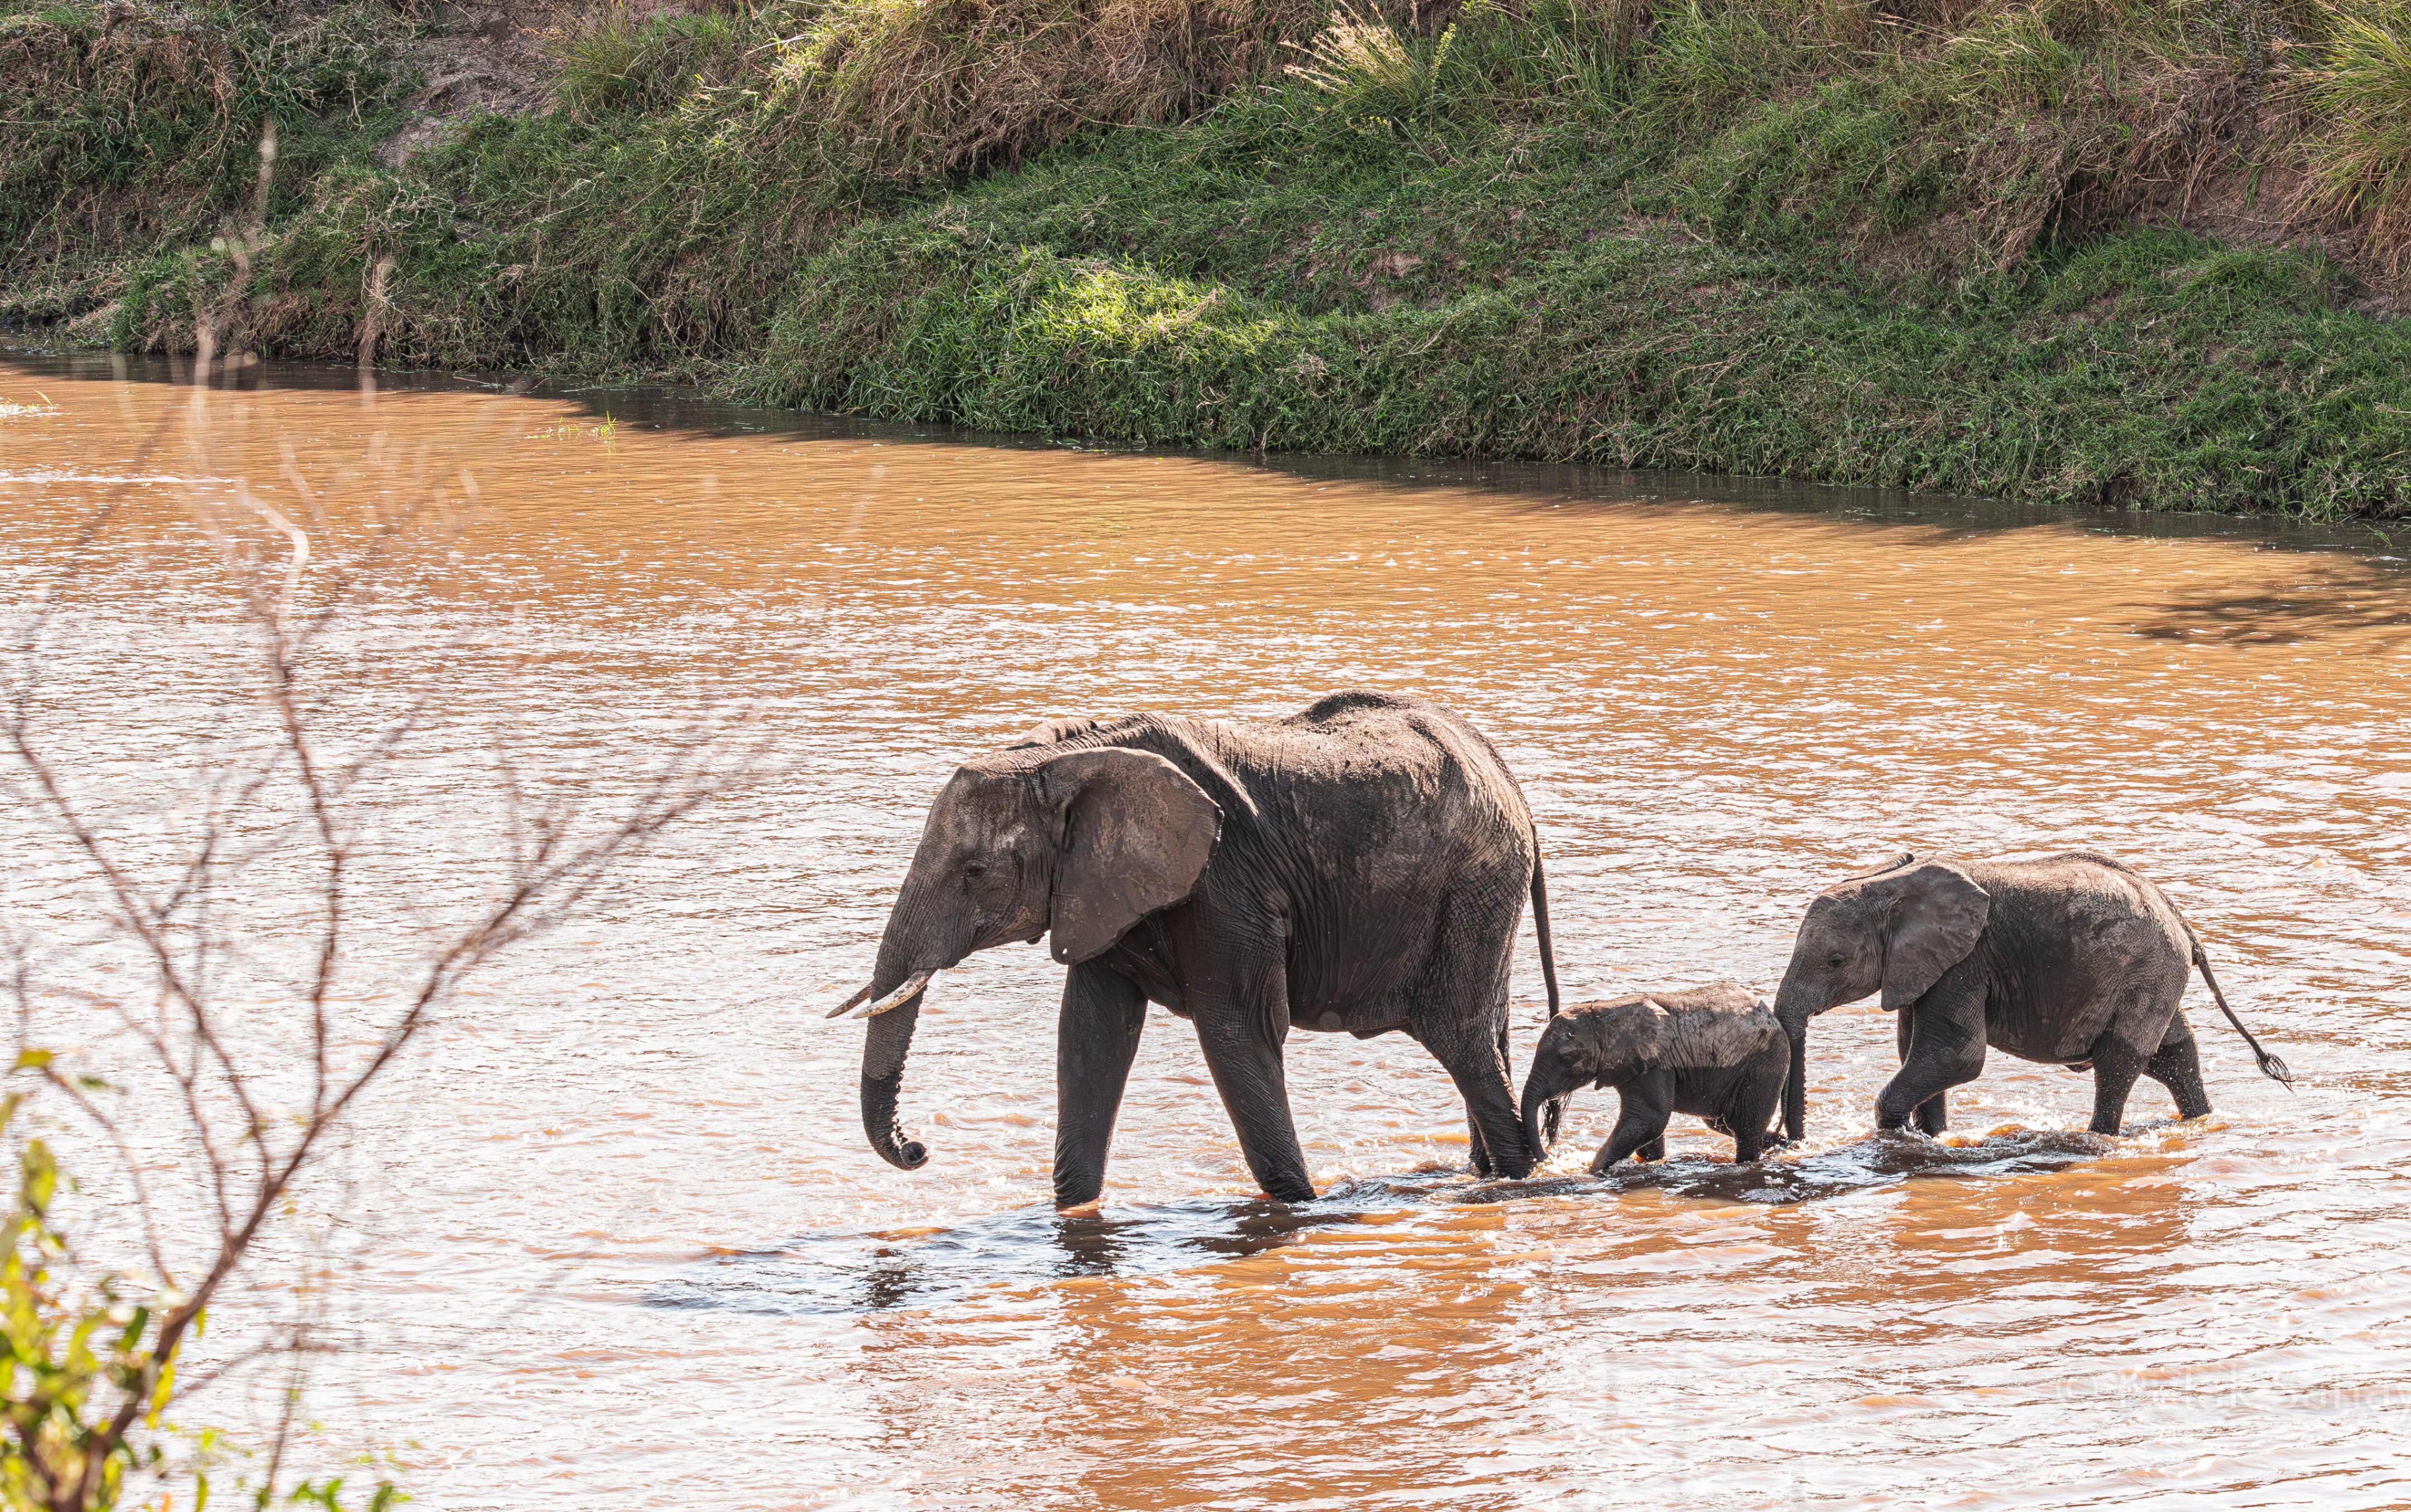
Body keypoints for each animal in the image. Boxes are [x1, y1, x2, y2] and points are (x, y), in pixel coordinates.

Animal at [828, 691, 1563, 1209]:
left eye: (976, 872)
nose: (918, 1150)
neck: (1073, 756)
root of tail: (1510, 784)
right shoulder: (1101, 892)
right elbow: (1091, 1038)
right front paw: (1073, 1214)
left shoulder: (1225, 886)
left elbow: (1235, 1030)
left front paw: (1300, 1207)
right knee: (1485, 1038)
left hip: (1473, 889)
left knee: (1459, 1039)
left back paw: (1520, 1179)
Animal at [1519, 984, 1790, 1173]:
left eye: (1566, 1059)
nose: (1547, 1158)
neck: (1606, 1013)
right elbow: (1648, 1125)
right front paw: (1651, 1161)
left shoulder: (1656, 1063)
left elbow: (1650, 1119)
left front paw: (1591, 1171)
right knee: (1724, 1124)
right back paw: (1779, 1143)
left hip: (1764, 1066)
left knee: (1744, 1127)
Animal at [1770, 850, 2292, 1140]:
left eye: (1836, 961)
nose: (1788, 1141)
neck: (1888, 881)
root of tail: (2183, 922)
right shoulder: (1924, 966)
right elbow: (1916, 1052)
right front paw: (1933, 1137)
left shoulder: (1965, 964)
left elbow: (1956, 1055)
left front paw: (1900, 1133)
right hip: (2156, 976)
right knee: (2173, 1052)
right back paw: (2200, 1121)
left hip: (2148, 971)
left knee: (2120, 1060)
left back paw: (2097, 1139)